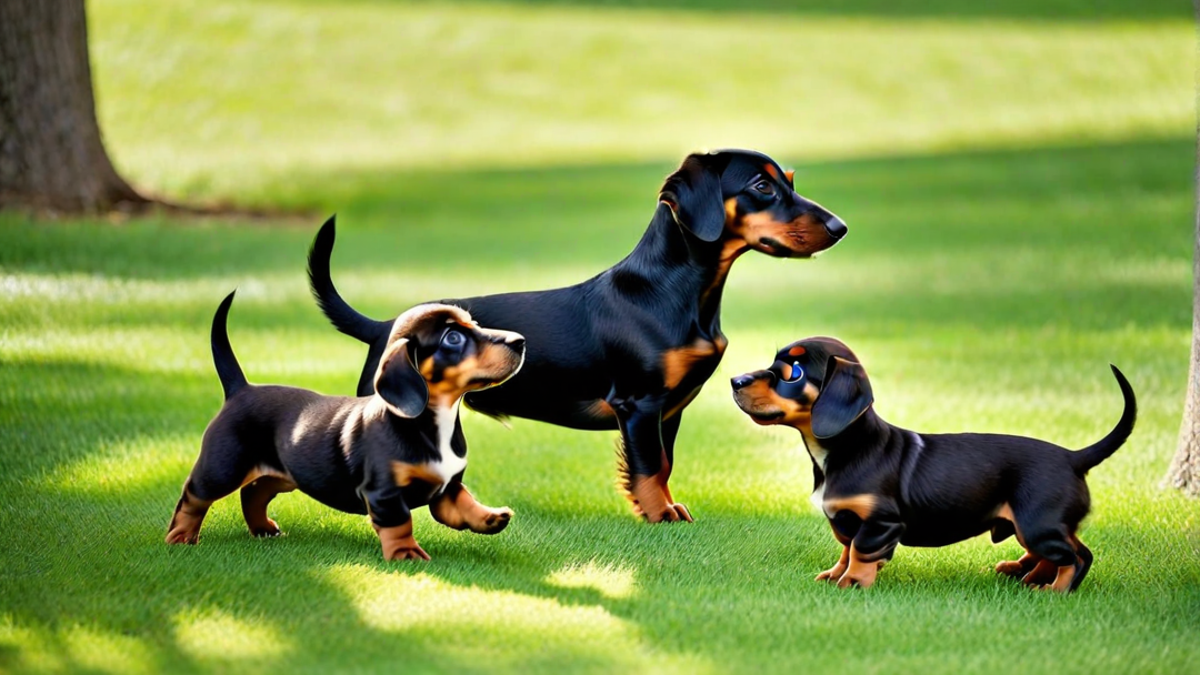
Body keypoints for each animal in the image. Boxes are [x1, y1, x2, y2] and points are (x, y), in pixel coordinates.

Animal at [165, 289, 525, 557]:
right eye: (453, 338)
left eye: (474, 324)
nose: (520, 341)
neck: (434, 422)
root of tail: (241, 389)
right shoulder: (383, 493)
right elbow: (399, 523)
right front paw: (406, 553)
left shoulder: (446, 487)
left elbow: (463, 503)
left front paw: (491, 517)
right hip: (222, 468)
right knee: (194, 496)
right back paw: (181, 537)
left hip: (283, 475)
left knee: (253, 492)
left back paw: (263, 529)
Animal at [314, 149, 849, 523]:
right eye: (762, 185)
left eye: (790, 182)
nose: (840, 227)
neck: (674, 291)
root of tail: (384, 326)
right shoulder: (639, 405)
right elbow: (649, 468)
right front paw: (659, 515)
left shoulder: (669, 409)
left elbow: (664, 464)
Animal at [729, 336, 1132, 588]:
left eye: (793, 373)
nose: (735, 379)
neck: (847, 449)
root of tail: (1073, 457)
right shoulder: (846, 520)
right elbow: (845, 549)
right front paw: (834, 575)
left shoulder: (881, 523)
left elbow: (860, 551)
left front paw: (853, 583)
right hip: (1036, 526)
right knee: (1067, 552)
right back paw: (1027, 576)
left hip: (1037, 524)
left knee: (1076, 557)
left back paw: (1053, 590)